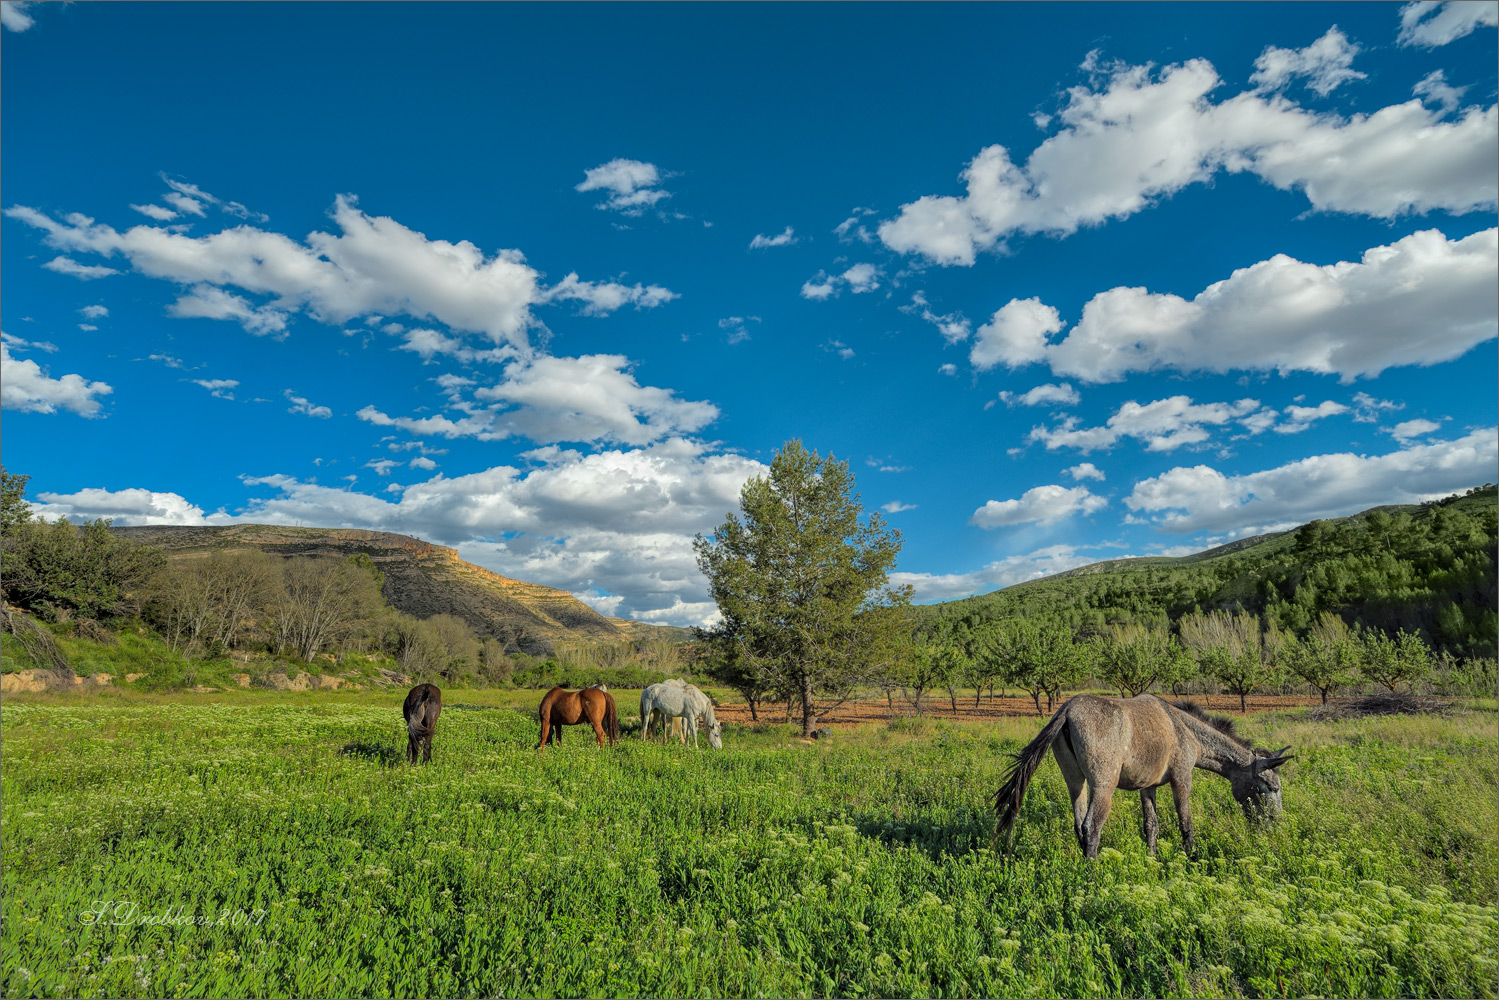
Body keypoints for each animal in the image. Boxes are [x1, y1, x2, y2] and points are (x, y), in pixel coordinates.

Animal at [995, 695, 1289, 863]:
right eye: (1270, 787)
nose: (1274, 828)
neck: (1183, 728)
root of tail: (1066, 711)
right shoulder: (1182, 780)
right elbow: (1185, 823)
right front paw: (1192, 859)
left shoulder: (1148, 787)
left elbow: (1151, 825)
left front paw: (1152, 859)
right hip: (1103, 787)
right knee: (1092, 827)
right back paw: (1092, 875)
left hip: (1076, 783)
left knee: (1079, 825)